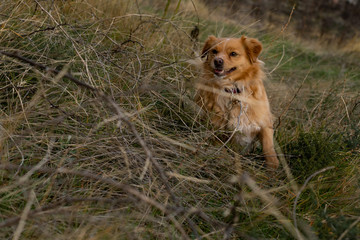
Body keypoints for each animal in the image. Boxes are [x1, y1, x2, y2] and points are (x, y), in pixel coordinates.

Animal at [195, 35, 280, 169]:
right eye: (214, 51)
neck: (233, 90)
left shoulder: (265, 123)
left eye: (233, 54)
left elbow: (269, 150)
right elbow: (222, 151)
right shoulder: (217, 130)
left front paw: (273, 170)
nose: (218, 61)